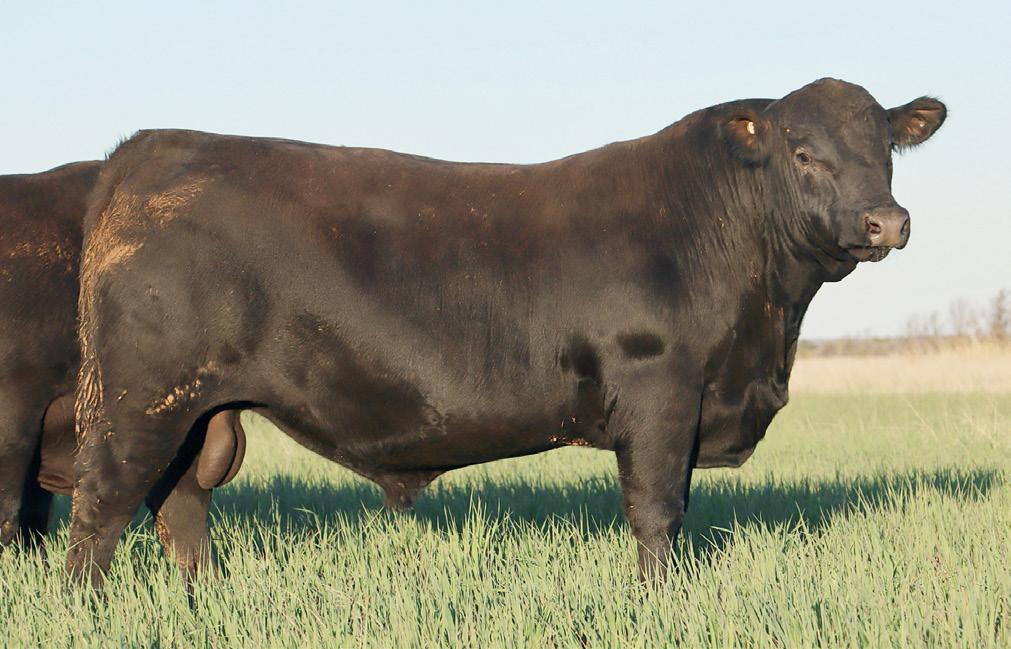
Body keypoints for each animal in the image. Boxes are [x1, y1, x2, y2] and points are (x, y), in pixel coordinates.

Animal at [66, 78, 945, 588]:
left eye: (886, 152)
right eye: (802, 151)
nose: (886, 220)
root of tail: (146, 150)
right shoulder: (661, 391)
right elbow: (657, 510)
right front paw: (657, 600)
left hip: (197, 413)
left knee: (182, 508)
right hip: (138, 404)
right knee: (99, 509)